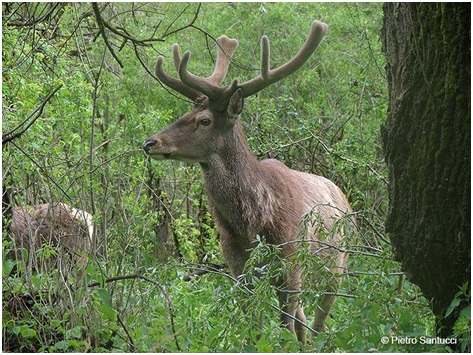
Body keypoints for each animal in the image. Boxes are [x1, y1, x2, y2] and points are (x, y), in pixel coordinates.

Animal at [142, 20, 352, 344]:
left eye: (205, 120)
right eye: (185, 112)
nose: (150, 142)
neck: (252, 221)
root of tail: (343, 195)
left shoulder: (291, 259)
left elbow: (285, 326)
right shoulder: (236, 263)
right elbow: (254, 326)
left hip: (338, 263)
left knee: (318, 320)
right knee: (304, 321)